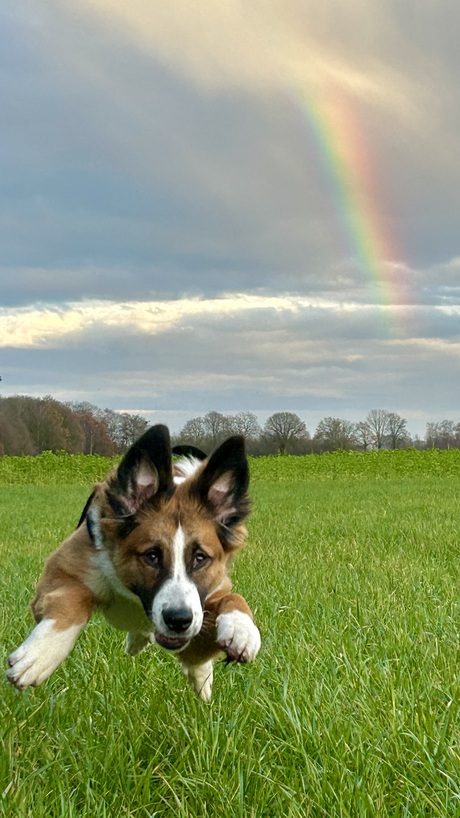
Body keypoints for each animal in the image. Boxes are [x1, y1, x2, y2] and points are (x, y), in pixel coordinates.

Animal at [5, 424, 260, 700]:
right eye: (152, 555)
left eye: (200, 558)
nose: (178, 621)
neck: (135, 597)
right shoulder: (61, 571)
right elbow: (74, 600)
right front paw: (40, 655)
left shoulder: (206, 602)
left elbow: (232, 597)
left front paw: (242, 629)